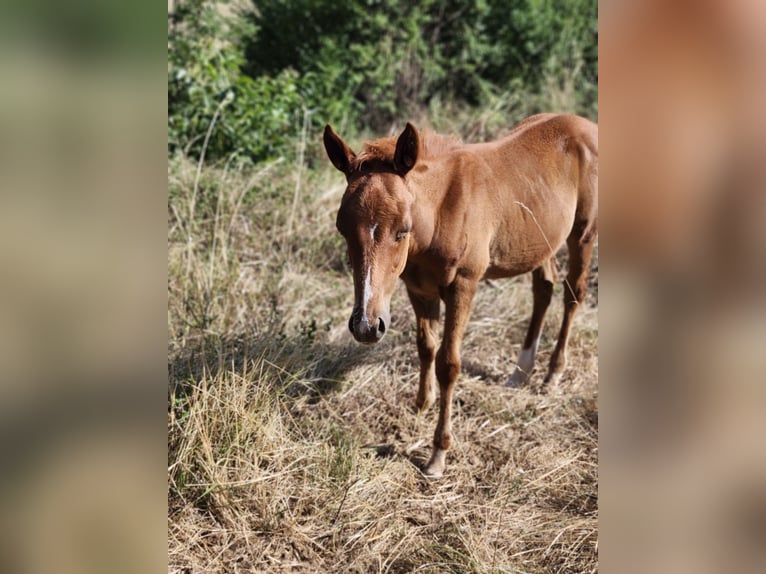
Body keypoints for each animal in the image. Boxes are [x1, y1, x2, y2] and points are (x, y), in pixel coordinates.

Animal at [323, 113, 598, 478]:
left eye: (402, 230)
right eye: (342, 227)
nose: (366, 326)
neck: (441, 210)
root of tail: (587, 125)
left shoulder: (463, 286)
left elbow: (448, 363)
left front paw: (438, 454)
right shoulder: (417, 287)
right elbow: (425, 347)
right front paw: (422, 404)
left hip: (583, 235)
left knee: (573, 293)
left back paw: (553, 374)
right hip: (541, 238)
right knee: (544, 288)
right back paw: (520, 372)